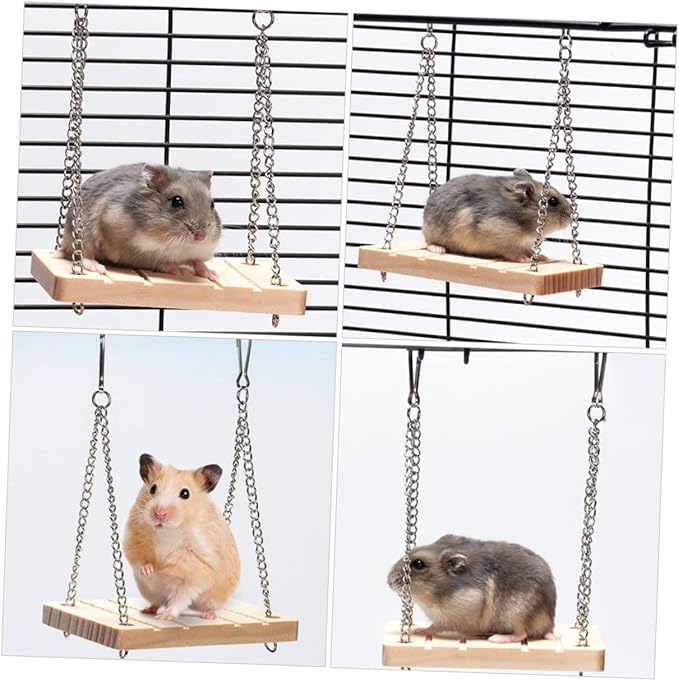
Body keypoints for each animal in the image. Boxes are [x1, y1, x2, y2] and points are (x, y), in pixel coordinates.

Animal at [60, 163, 223, 280]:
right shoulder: (137, 253)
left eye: (212, 204)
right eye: (176, 201)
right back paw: (98, 268)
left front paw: (213, 275)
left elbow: (198, 262)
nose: (201, 236)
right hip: (82, 235)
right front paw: (181, 271)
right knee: (84, 254)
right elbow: (163, 263)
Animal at [123, 454, 240, 620]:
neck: (168, 532)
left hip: (214, 597)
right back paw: (148, 610)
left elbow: (181, 595)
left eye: (185, 493)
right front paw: (150, 570)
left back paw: (208, 616)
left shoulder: (199, 568)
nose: (159, 513)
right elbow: (140, 560)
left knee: (206, 606)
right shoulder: (134, 539)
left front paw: (166, 616)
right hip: (150, 592)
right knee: (157, 602)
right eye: (153, 488)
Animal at [387, 534, 556, 642]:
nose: (388, 582)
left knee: (521, 634)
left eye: (418, 564)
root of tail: (550, 626)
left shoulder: (451, 617)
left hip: (516, 614)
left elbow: (434, 626)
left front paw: (417, 631)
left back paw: (496, 638)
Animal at [422, 169, 571, 262]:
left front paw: (542, 257)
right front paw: (523, 260)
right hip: (432, 231)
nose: (572, 216)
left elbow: (530, 250)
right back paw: (439, 249)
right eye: (553, 201)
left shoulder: (526, 244)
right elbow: (511, 252)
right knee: (429, 243)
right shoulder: (496, 234)